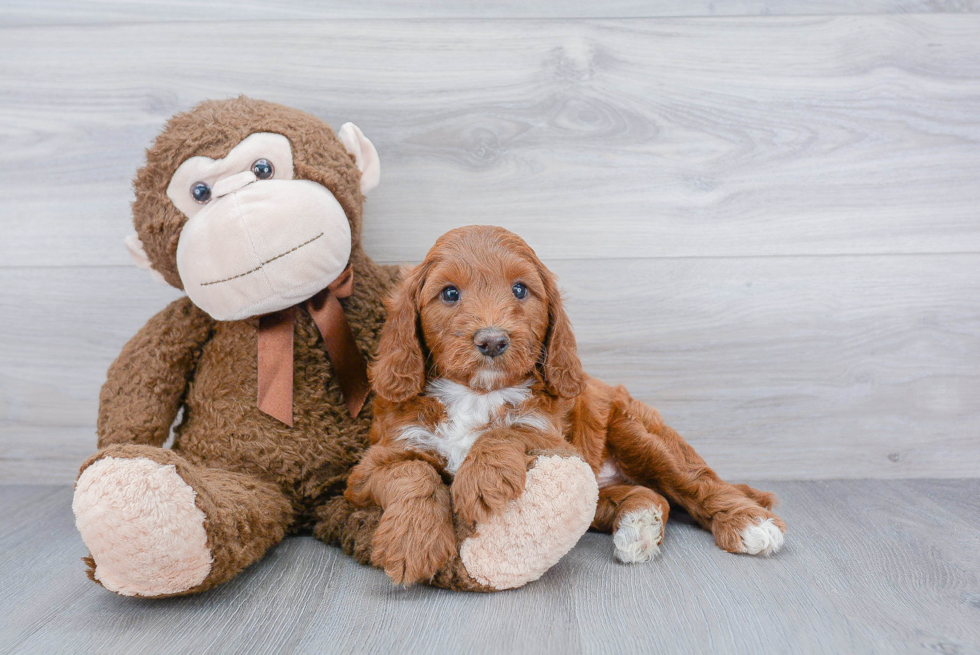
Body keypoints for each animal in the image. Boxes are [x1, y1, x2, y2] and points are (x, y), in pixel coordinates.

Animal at [348, 226, 784, 584]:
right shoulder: (373, 463)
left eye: (520, 290)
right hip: (596, 490)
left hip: (635, 431)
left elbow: (511, 429)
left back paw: (750, 524)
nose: (492, 340)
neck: (476, 394)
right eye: (450, 293)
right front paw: (412, 541)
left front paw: (482, 477)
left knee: (698, 481)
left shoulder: (555, 439)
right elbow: (411, 472)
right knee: (650, 494)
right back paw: (639, 526)